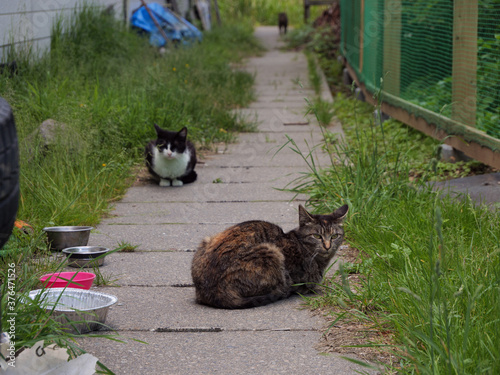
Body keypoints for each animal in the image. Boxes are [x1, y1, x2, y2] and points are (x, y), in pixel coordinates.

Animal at [191, 204, 348, 310]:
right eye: (317, 236)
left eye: (334, 236)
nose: (327, 246)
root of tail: (210, 292)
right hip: (272, 252)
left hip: (206, 240)